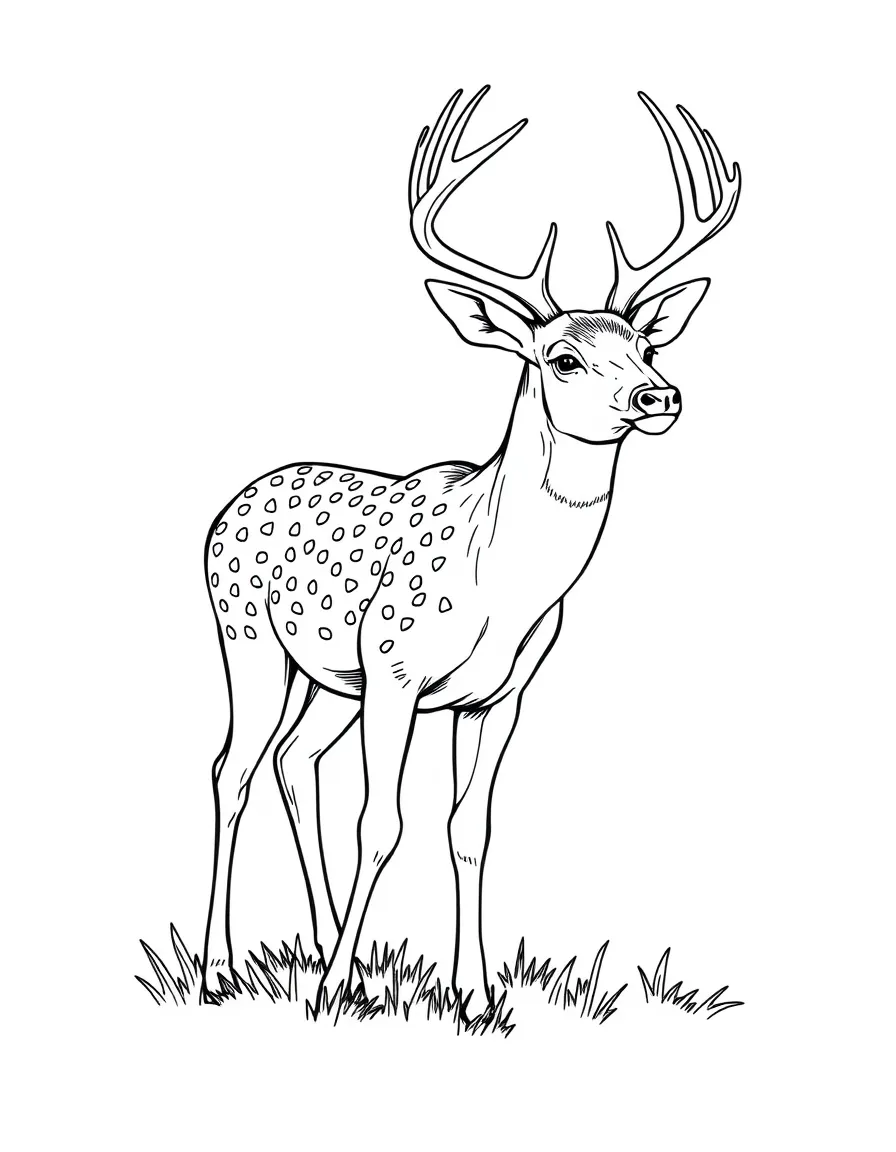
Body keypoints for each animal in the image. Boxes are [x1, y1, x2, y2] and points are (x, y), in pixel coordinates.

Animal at [200, 87, 741, 1016]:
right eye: (562, 358)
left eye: (646, 345)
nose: (660, 395)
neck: (502, 585)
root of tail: (230, 505)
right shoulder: (395, 670)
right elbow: (381, 824)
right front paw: (338, 989)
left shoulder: (499, 696)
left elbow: (469, 829)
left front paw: (476, 993)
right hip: (250, 638)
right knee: (231, 770)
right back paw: (222, 968)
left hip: (327, 676)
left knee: (294, 762)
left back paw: (326, 950)